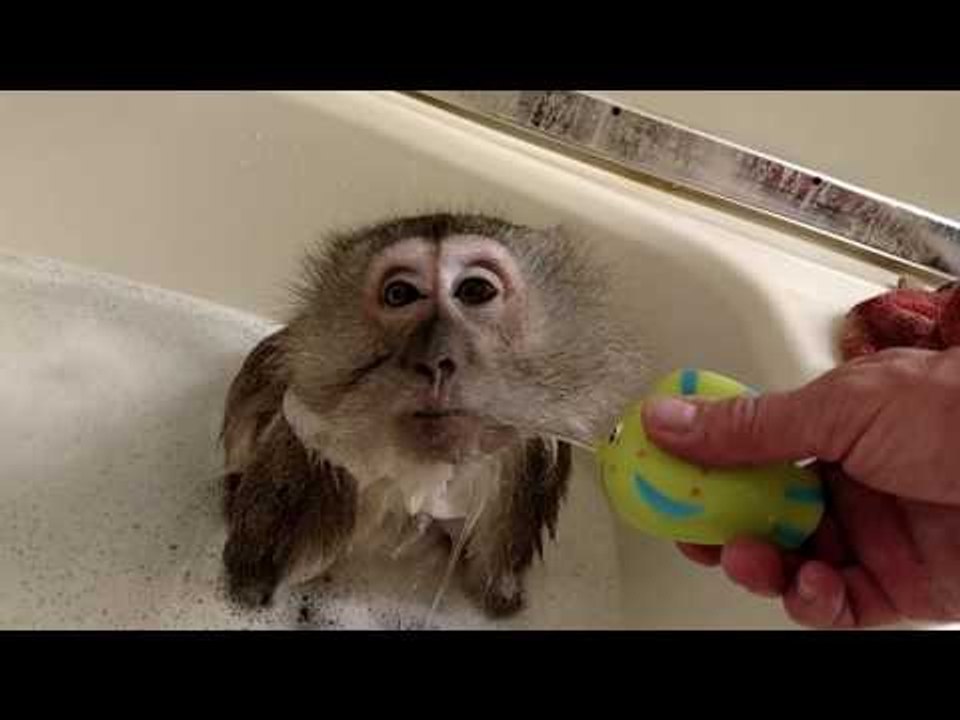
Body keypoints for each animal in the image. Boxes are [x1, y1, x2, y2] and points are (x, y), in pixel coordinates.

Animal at [219, 213, 647, 618]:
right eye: (399, 294)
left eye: (475, 290)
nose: (436, 359)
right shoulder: (309, 439)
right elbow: (251, 582)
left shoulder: (529, 457)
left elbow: (496, 596)